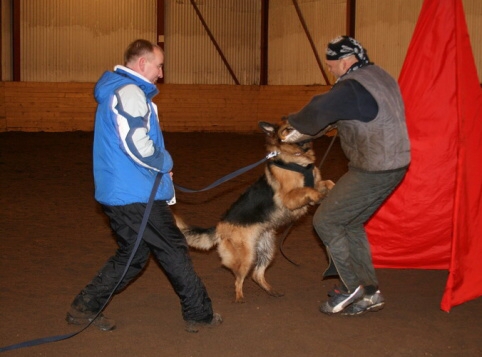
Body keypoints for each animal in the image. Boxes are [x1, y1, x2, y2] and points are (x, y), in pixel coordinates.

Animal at [176, 119, 336, 300]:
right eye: (288, 128)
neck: (296, 160)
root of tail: (219, 226)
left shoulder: (317, 183)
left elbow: (328, 182)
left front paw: (331, 190)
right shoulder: (288, 197)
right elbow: (307, 189)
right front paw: (318, 197)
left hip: (267, 251)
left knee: (256, 275)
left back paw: (271, 291)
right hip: (247, 256)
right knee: (238, 276)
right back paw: (240, 298)